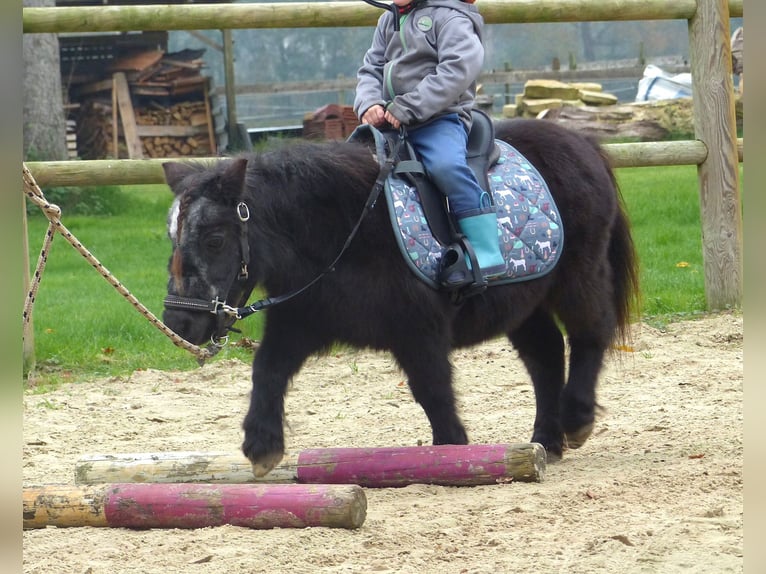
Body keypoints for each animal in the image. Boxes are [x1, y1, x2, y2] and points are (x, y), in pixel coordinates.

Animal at [164, 119, 640, 480]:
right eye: (173, 237)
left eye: (214, 238)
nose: (178, 324)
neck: (344, 229)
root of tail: (582, 143)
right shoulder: (299, 323)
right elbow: (267, 371)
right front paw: (262, 445)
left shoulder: (419, 330)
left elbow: (432, 388)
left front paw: (451, 451)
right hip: (524, 303)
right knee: (546, 355)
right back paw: (545, 440)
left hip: (578, 276)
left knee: (590, 334)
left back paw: (577, 420)